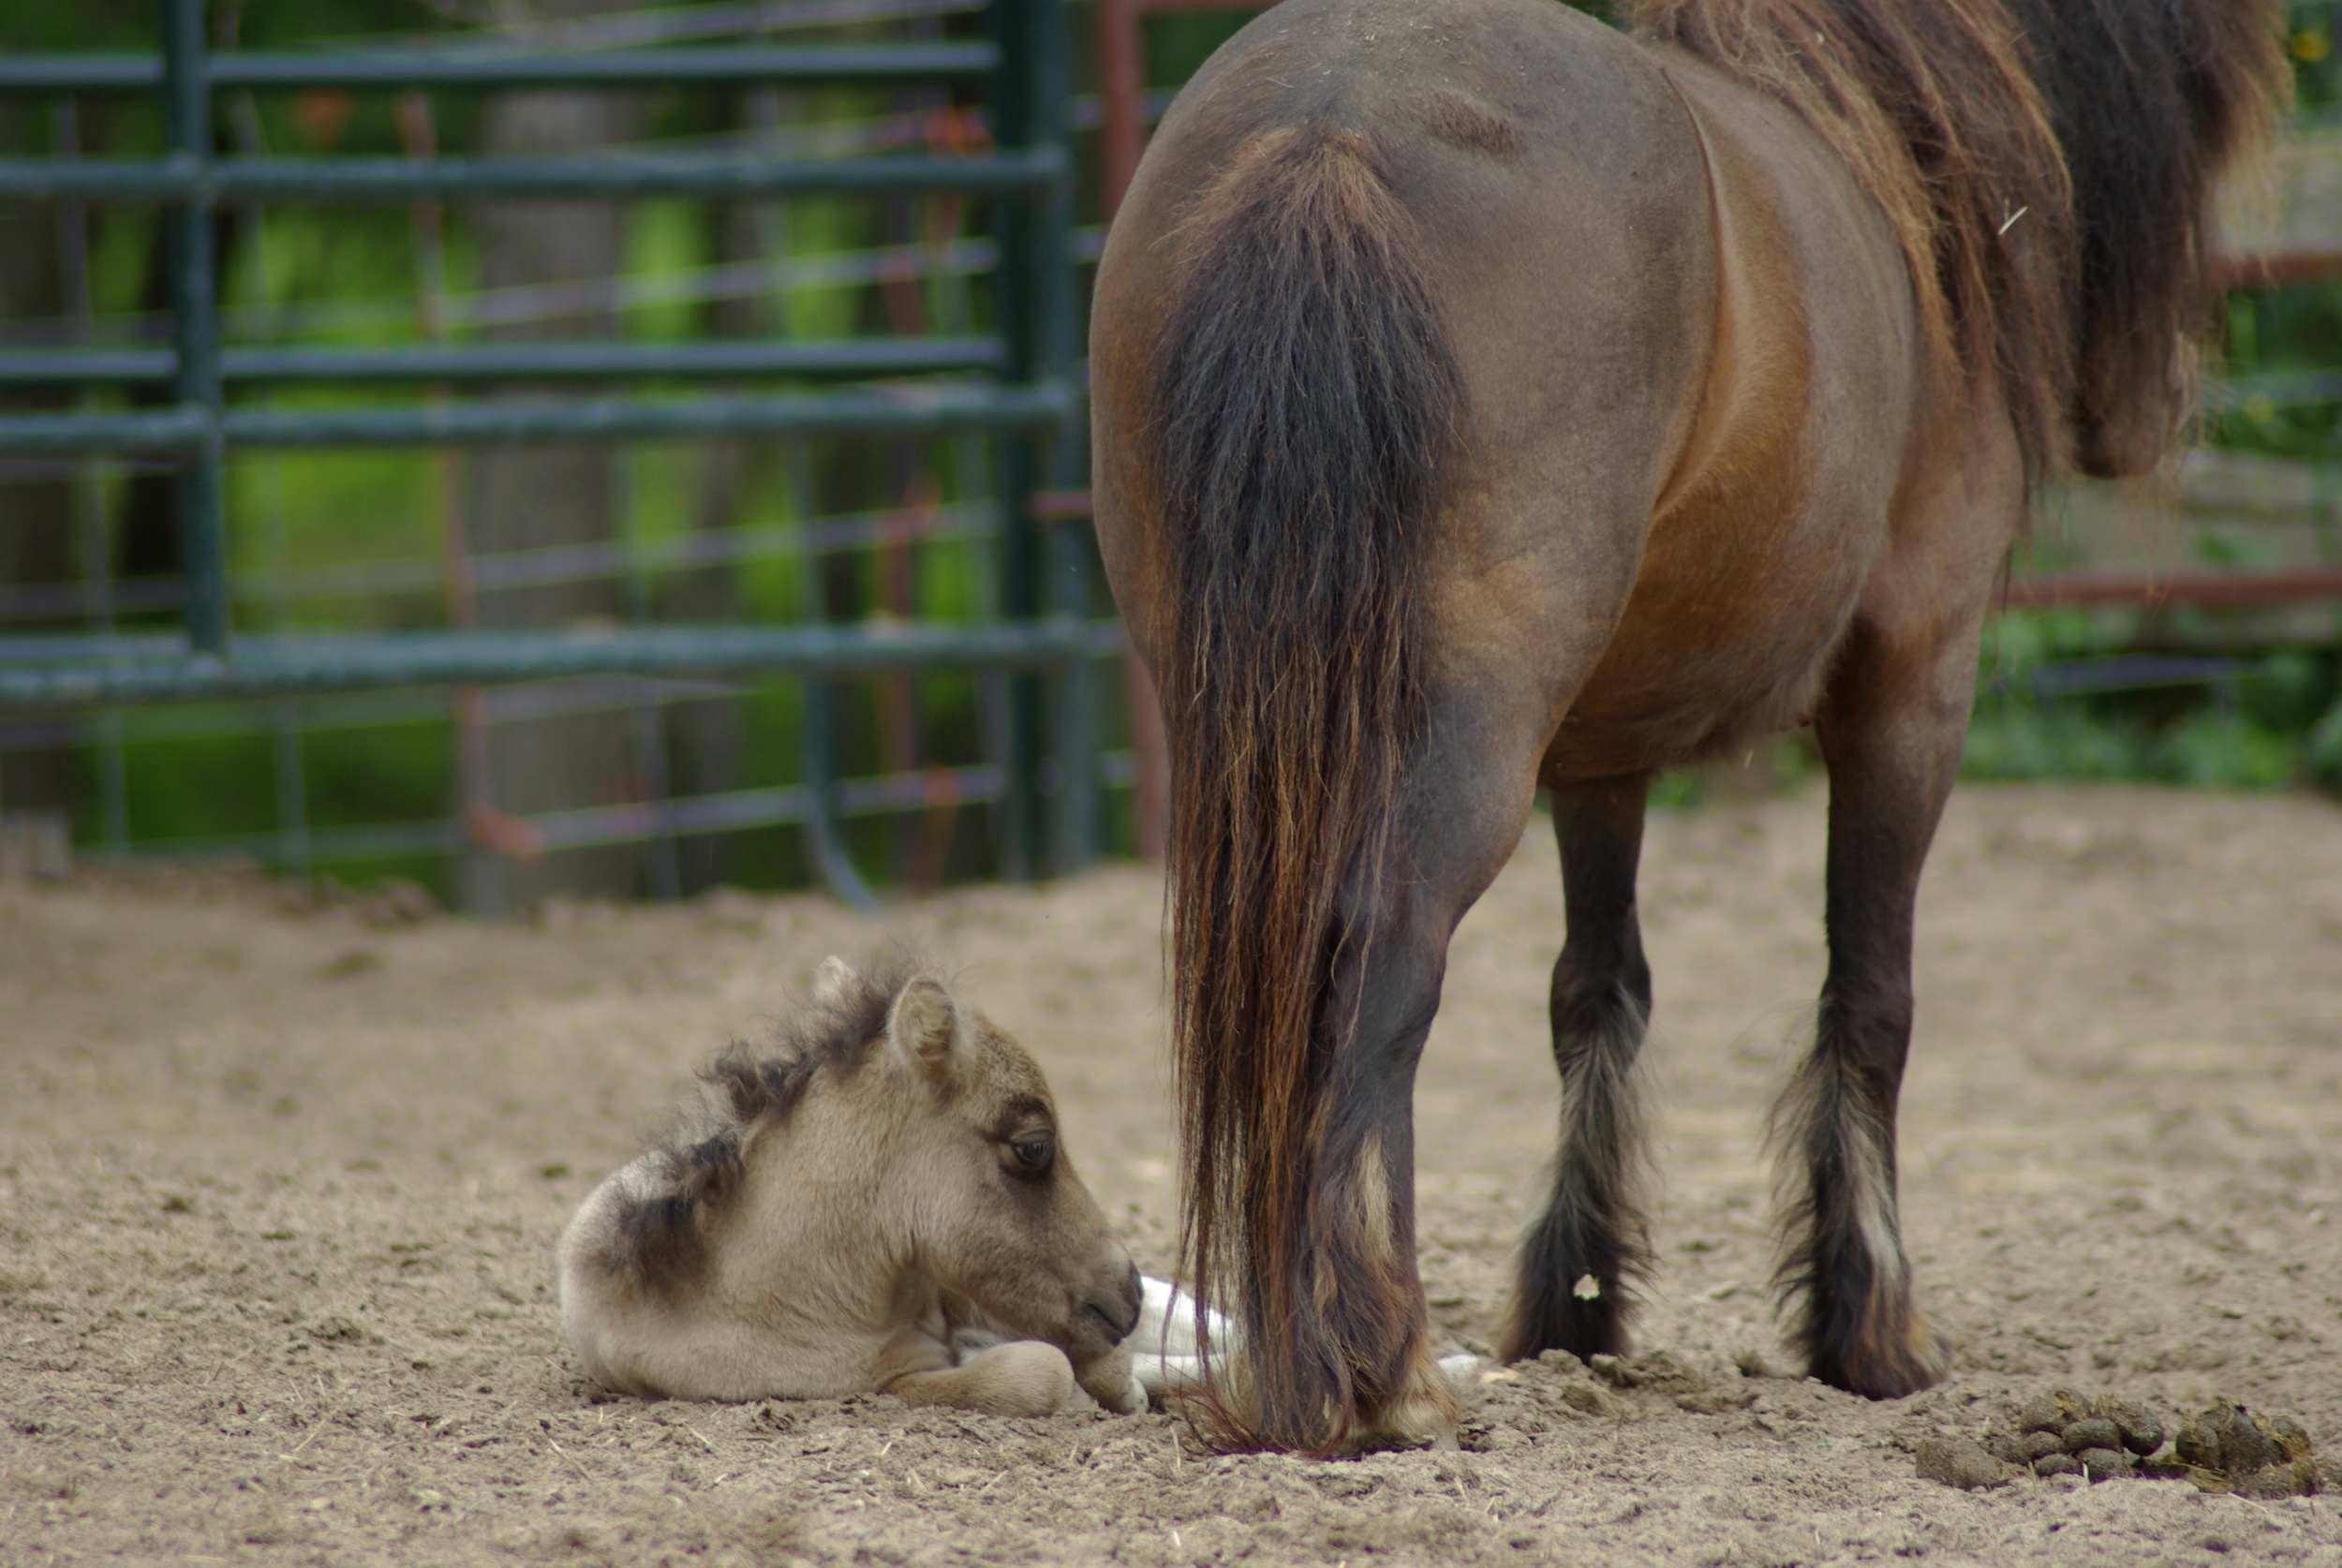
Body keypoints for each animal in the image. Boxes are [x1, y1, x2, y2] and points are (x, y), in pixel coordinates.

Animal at [1091, 0, 2286, 1460]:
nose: (2149, 412)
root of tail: (1332, 123)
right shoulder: (1914, 683)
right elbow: (1870, 994)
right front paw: (1871, 1330)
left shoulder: (1607, 743)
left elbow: (1596, 992)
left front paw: (1576, 1303)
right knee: (1377, 963)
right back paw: (1376, 1367)